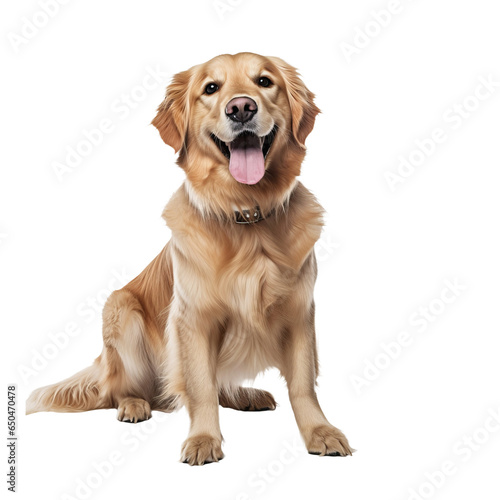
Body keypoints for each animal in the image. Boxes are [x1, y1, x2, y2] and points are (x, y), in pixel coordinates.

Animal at [26, 51, 352, 464]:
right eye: (211, 88)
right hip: (120, 311)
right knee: (125, 389)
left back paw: (245, 395)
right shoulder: (192, 319)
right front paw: (203, 439)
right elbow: (200, 386)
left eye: (264, 81)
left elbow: (303, 383)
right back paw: (134, 404)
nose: (241, 108)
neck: (246, 216)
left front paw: (319, 431)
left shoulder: (299, 312)